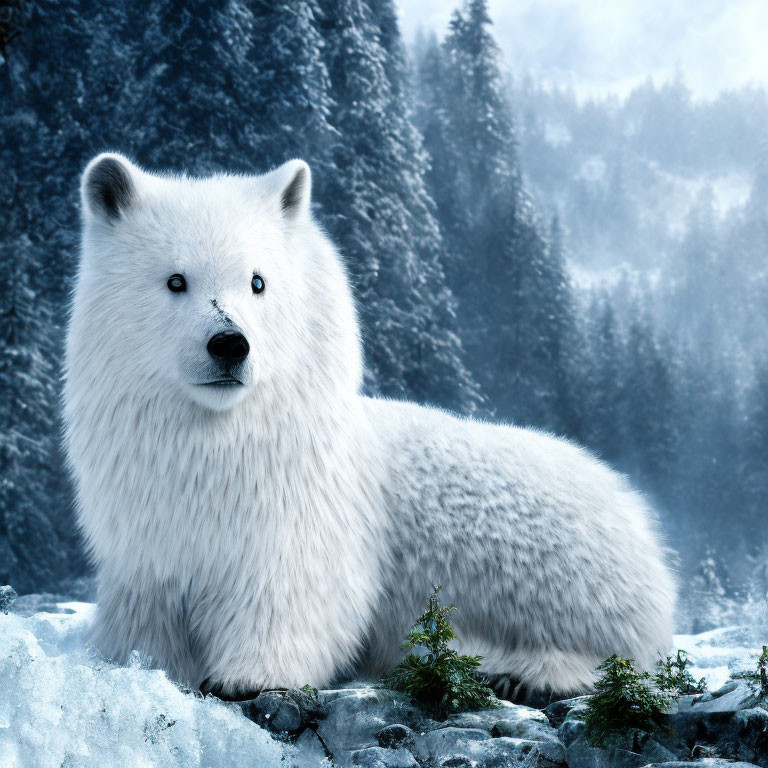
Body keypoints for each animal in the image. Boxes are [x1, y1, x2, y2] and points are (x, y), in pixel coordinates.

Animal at [66, 152, 680, 704]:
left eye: (258, 281)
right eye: (175, 280)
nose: (229, 344)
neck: (218, 444)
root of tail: (636, 511)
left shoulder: (301, 516)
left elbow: (293, 594)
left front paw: (248, 675)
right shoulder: (148, 536)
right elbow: (145, 614)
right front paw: (139, 664)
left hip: (554, 554)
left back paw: (525, 671)